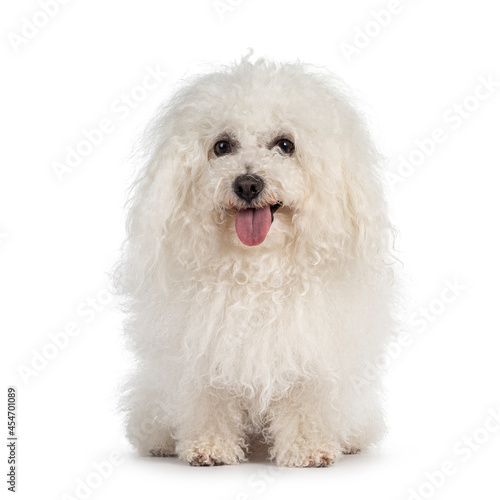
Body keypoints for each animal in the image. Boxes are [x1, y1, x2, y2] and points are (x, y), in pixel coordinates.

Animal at [115, 56, 396, 466]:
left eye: (285, 145)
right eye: (222, 146)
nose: (248, 183)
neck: (256, 267)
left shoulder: (308, 348)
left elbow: (304, 398)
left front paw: (308, 448)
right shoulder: (200, 349)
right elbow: (210, 400)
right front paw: (209, 446)